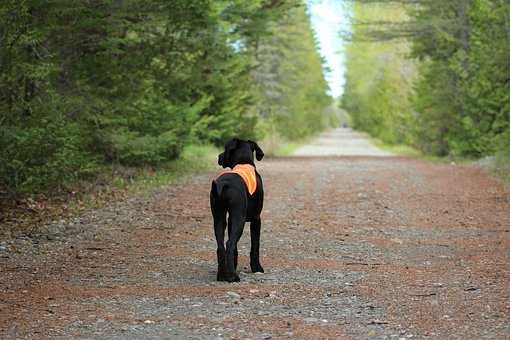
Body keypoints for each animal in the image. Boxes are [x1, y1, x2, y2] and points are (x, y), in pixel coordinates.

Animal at [209, 137, 264, 282]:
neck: (243, 162)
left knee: (221, 246)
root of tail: (224, 184)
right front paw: (257, 268)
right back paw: (233, 276)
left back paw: (222, 275)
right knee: (230, 244)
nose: (219, 156)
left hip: (219, 217)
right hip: (239, 219)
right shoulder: (256, 219)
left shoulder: (230, 219)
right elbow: (255, 245)